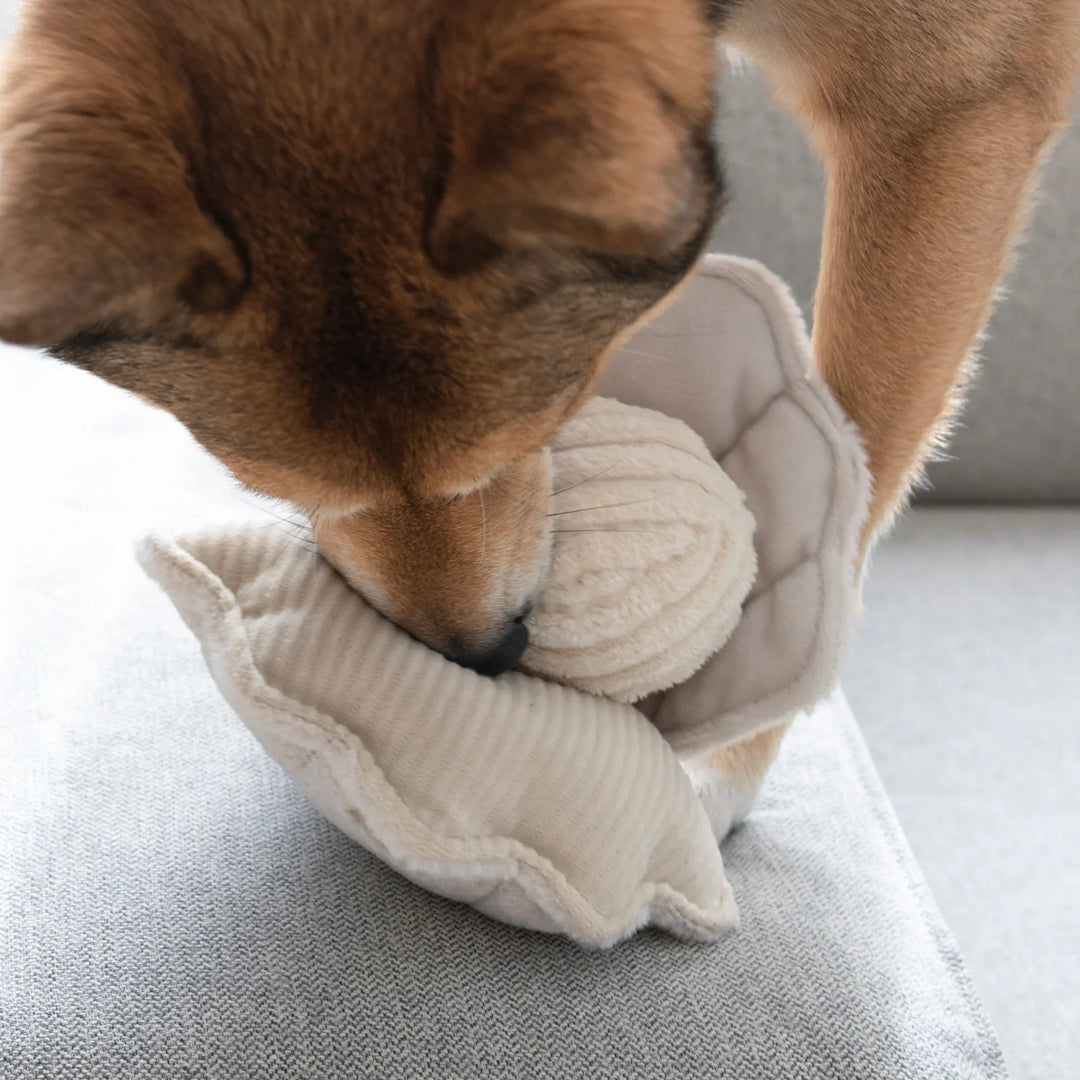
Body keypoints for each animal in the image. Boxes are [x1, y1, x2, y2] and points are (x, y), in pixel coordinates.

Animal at [2, 2, 1080, 816]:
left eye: (533, 432)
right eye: (269, 484)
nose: (483, 657)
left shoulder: (951, 108)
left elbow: (852, 469)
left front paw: (717, 768)